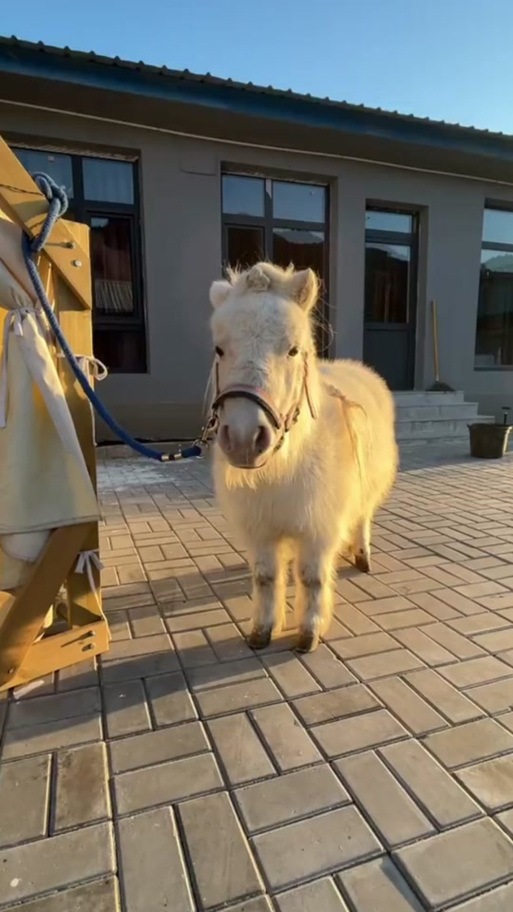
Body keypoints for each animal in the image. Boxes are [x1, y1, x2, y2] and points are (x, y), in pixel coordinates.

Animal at [208, 262, 398, 653]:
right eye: (219, 349)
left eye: (293, 350)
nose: (245, 439)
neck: (284, 466)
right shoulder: (260, 528)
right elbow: (265, 577)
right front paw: (262, 630)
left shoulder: (319, 526)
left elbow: (312, 578)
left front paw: (308, 632)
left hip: (367, 490)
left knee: (363, 518)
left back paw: (362, 556)